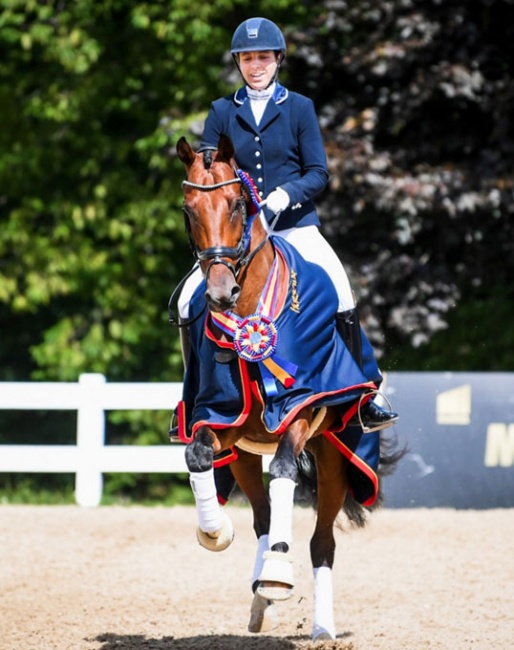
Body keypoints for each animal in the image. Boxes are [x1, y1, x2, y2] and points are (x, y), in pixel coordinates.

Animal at [174, 133, 398, 636]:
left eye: (238, 204)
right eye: (188, 209)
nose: (220, 293)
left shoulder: (300, 406)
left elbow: (283, 470)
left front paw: (278, 573)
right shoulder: (220, 416)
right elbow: (197, 454)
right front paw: (215, 532)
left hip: (336, 456)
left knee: (321, 542)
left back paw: (320, 626)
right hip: (242, 456)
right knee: (261, 518)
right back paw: (259, 600)